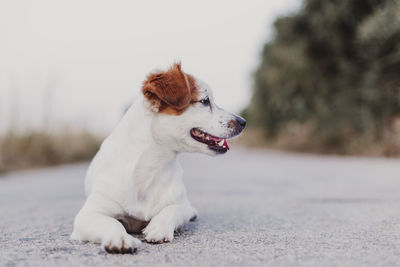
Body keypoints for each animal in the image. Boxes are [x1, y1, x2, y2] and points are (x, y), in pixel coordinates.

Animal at [70, 62, 245, 253]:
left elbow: (171, 210)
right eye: (205, 101)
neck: (152, 164)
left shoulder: (179, 205)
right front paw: (120, 238)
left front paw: (158, 227)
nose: (243, 122)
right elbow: (111, 222)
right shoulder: (87, 215)